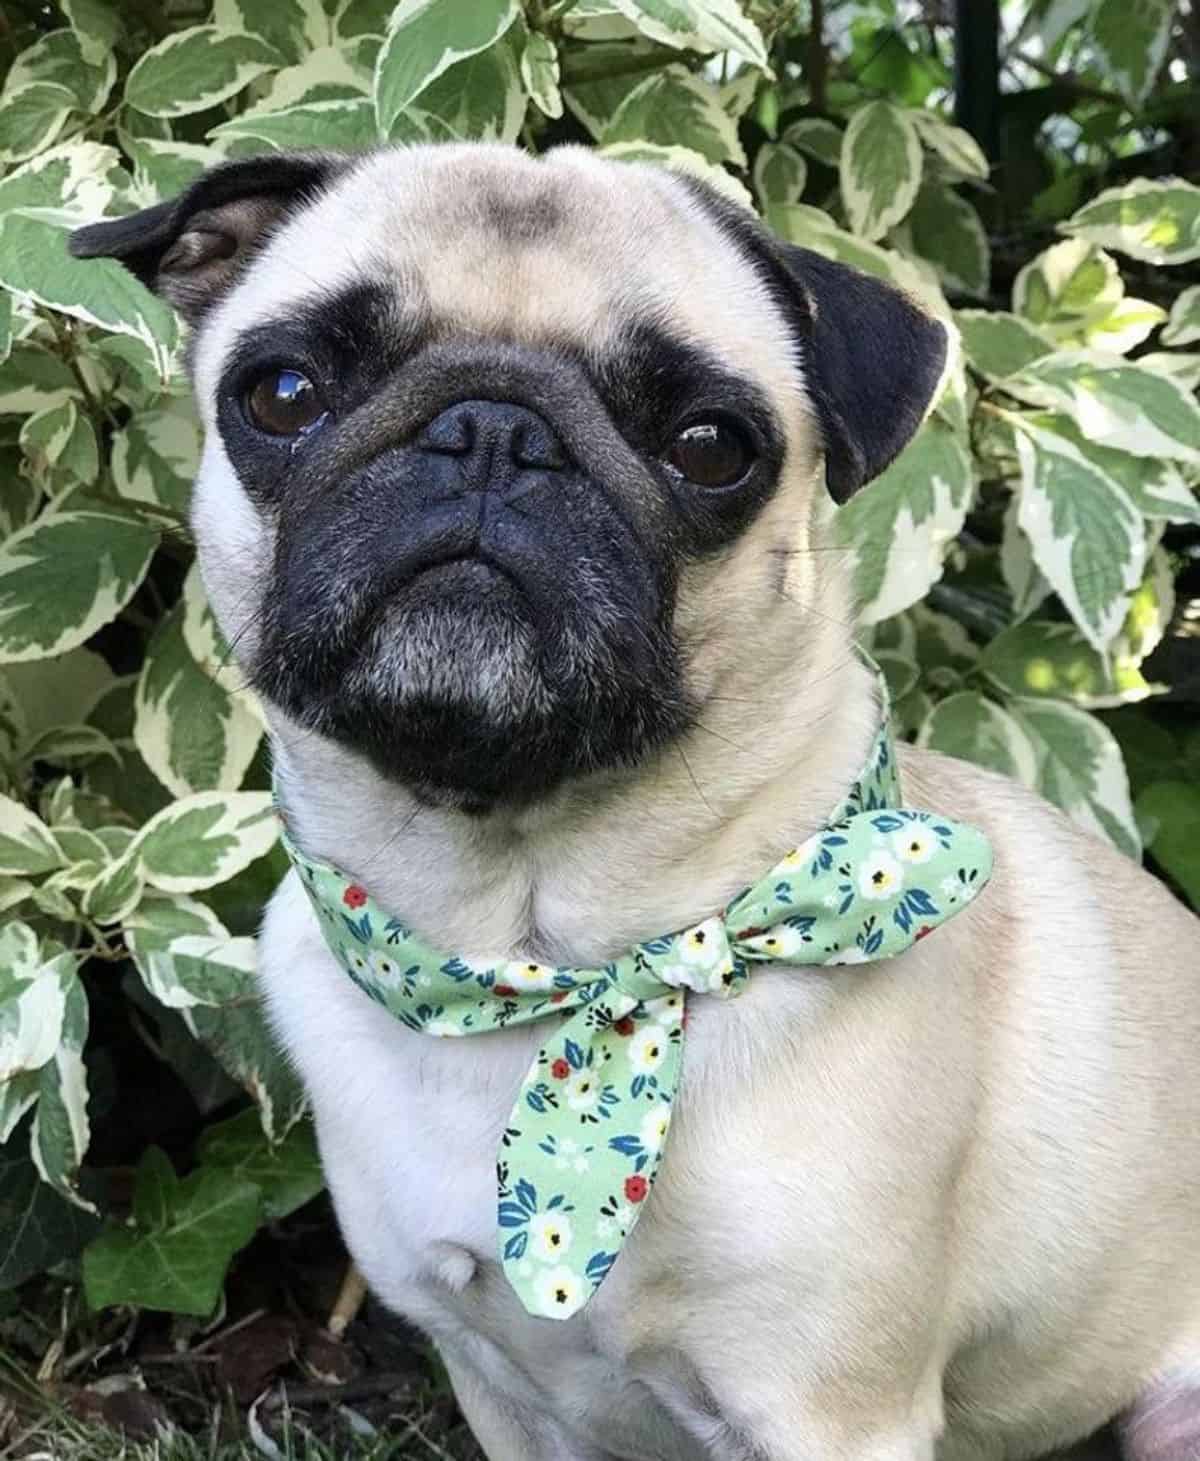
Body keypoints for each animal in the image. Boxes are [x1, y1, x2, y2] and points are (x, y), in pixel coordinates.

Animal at [74, 139, 1198, 1461]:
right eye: (286, 392)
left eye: (711, 446)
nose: (491, 429)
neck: (533, 955)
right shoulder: (498, 1388)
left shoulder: (830, 1411)